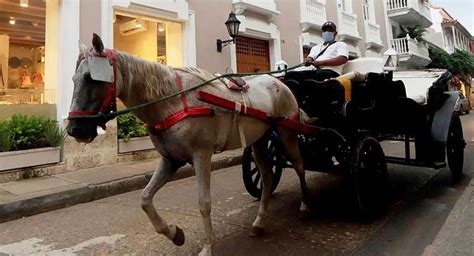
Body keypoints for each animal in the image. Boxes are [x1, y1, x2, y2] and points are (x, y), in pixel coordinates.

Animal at [66, 34, 310, 256]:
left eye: (91, 78)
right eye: (74, 79)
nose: (74, 129)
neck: (171, 101)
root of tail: (279, 82)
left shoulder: (201, 156)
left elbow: (204, 203)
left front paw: (208, 245)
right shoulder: (171, 160)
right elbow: (145, 199)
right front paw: (174, 233)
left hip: (287, 134)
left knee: (299, 166)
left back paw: (305, 205)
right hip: (259, 140)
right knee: (267, 176)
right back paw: (259, 222)